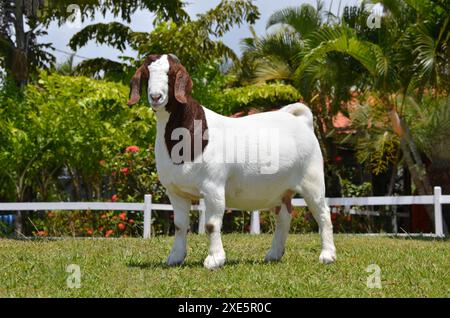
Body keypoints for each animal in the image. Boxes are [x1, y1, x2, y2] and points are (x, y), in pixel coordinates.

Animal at [125, 54, 334, 268]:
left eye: (172, 73)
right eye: (147, 74)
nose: (156, 97)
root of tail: (302, 121)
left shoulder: (213, 186)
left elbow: (211, 224)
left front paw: (214, 260)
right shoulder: (175, 191)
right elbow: (179, 225)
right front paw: (175, 257)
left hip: (312, 178)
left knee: (323, 213)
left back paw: (327, 255)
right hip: (280, 189)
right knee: (283, 217)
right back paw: (274, 254)